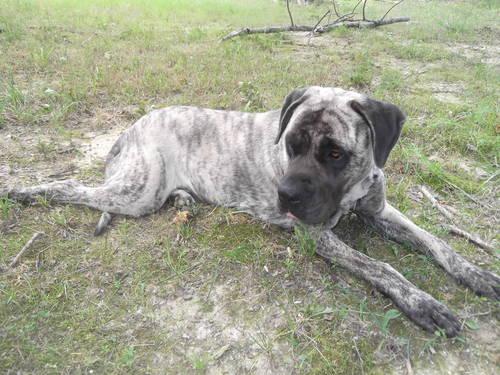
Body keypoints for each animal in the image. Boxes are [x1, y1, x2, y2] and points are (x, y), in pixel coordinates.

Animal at [2, 86, 496, 336]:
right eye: (290, 144)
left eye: (335, 152)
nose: (285, 196)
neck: (352, 186)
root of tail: (131, 127)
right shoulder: (316, 235)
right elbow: (383, 268)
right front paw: (423, 303)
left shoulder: (381, 211)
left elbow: (436, 242)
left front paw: (476, 273)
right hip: (136, 192)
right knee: (72, 187)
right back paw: (25, 190)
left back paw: (185, 200)